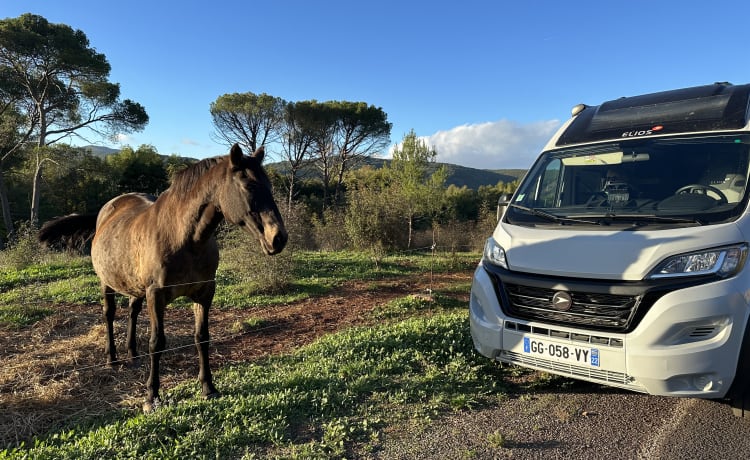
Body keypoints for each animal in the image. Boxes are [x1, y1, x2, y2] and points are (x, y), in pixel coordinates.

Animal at [39, 143, 290, 410]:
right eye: (248, 186)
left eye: (269, 186)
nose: (278, 238)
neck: (184, 237)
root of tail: (106, 210)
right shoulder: (156, 295)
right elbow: (156, 343)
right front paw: (152, 396)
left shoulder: (204, 293)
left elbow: (202, 338)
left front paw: (208, 387)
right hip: (107, 282)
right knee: (109, 314)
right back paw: (112, 358)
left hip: (135, 286)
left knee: (132, 311)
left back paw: (132, 354)